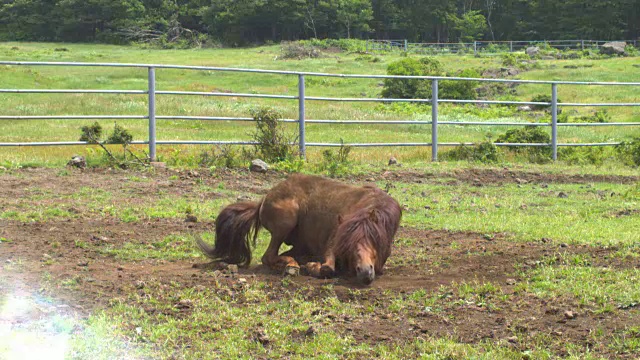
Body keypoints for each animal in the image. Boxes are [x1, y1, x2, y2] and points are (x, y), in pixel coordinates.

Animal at [196, 174, 400, 284]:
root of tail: (264, 199)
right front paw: (313, 267)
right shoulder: (334, 238)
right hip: (286, 222)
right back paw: (292, 266)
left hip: (298, 242)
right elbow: (328, 267)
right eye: (348, 244)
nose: (364, 272)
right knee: (268, 257)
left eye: (374, 240)